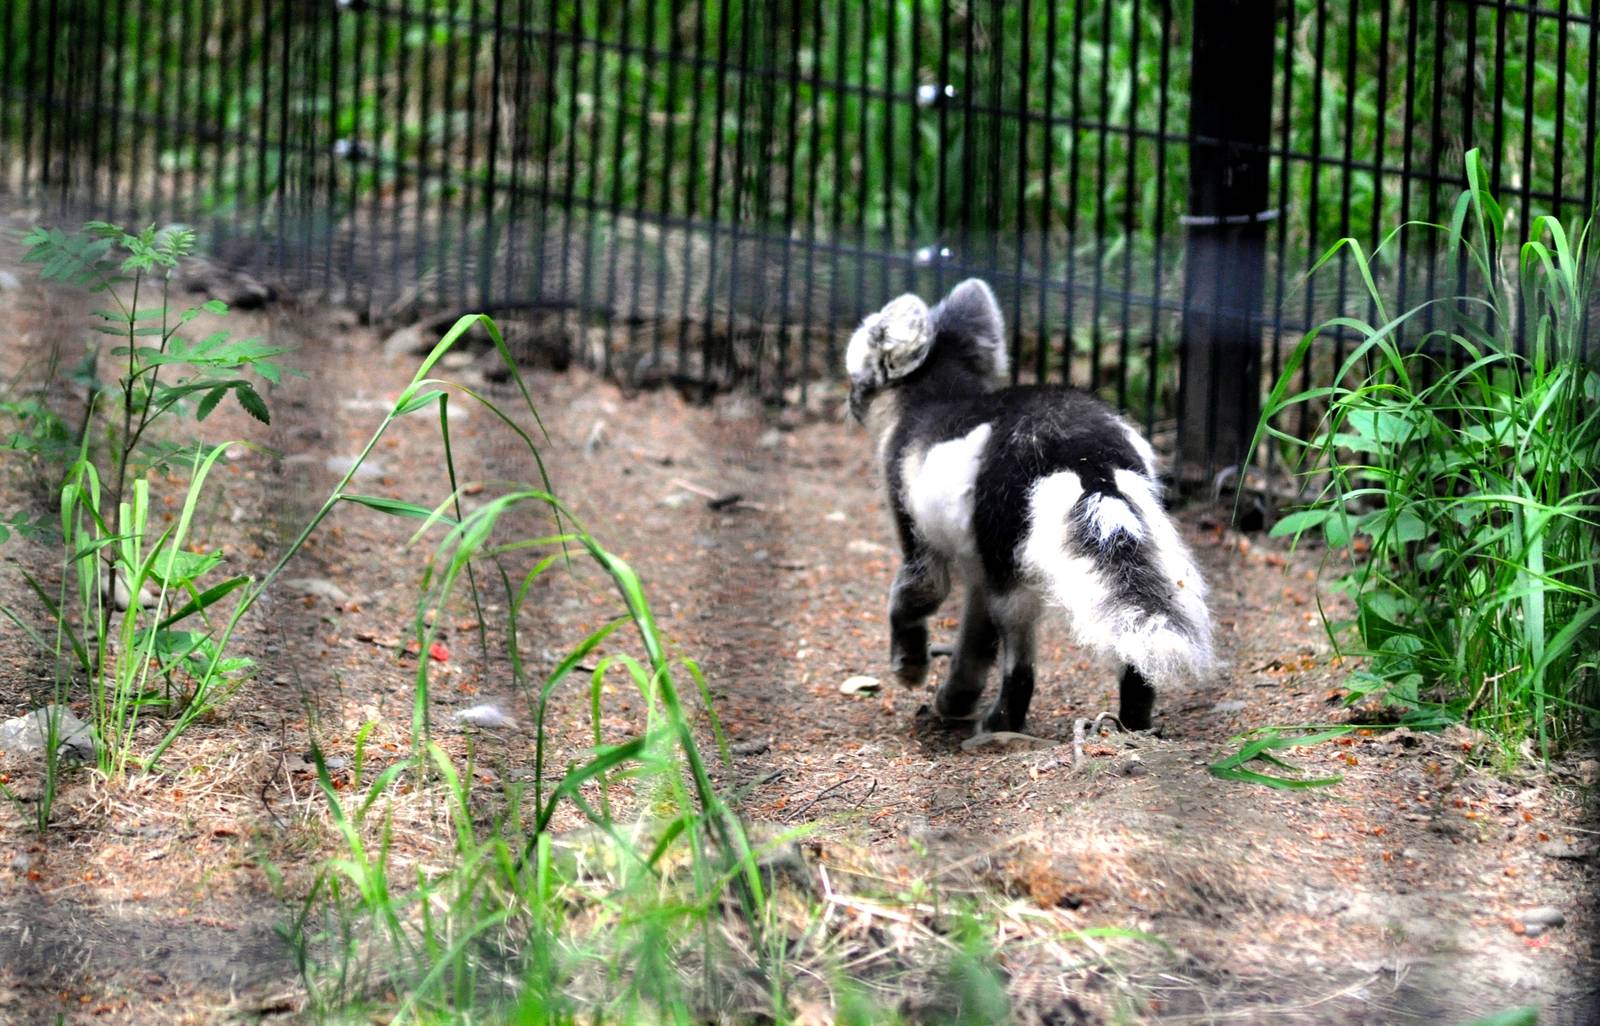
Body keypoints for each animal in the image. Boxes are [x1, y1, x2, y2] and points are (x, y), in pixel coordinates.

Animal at [846, 278, 1213, 734]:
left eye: (857, 375)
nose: (850, 402)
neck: (939, 396)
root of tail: (1084, 448)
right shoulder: (978, 566)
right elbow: (976, 640)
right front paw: (955, 699)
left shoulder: (916, 529)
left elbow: (914, 597)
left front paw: (910, 669)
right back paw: (1134, 722)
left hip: (1010, 567)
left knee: (1020, 663)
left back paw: (1000, 724)